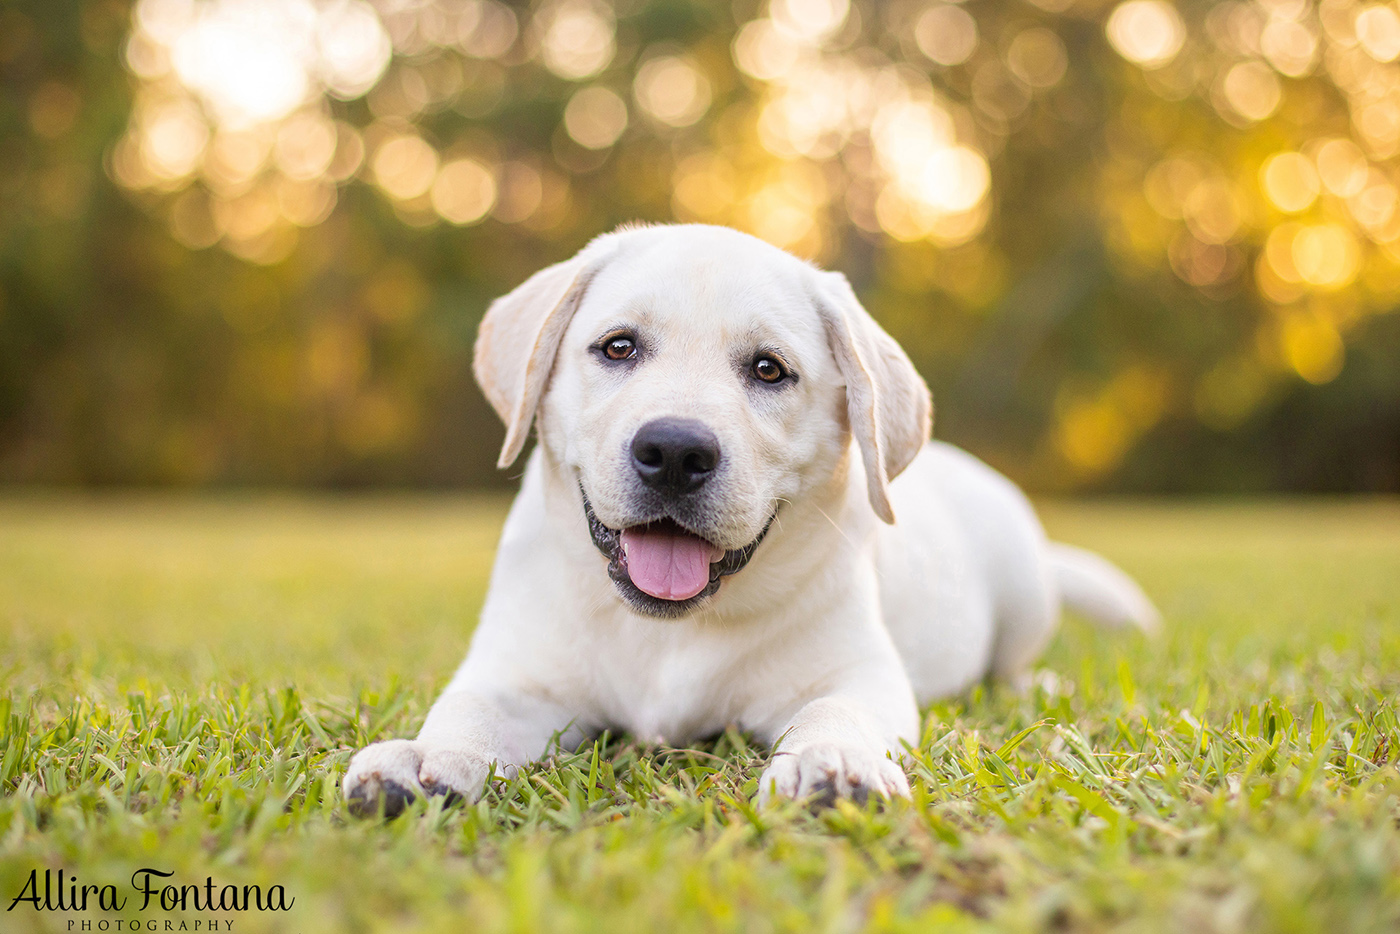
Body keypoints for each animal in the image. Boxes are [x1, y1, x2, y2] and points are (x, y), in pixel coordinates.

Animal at [344, 222, 1153, 812]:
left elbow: (839, 711)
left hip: (1023, 590)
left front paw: (834, 761)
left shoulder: (857, 672)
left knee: (1013, 662)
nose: (674, 451)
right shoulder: (516, 677)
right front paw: (424, 758)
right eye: (618, 347)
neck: (668, 630)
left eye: (769, 369)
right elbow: (467, 713)